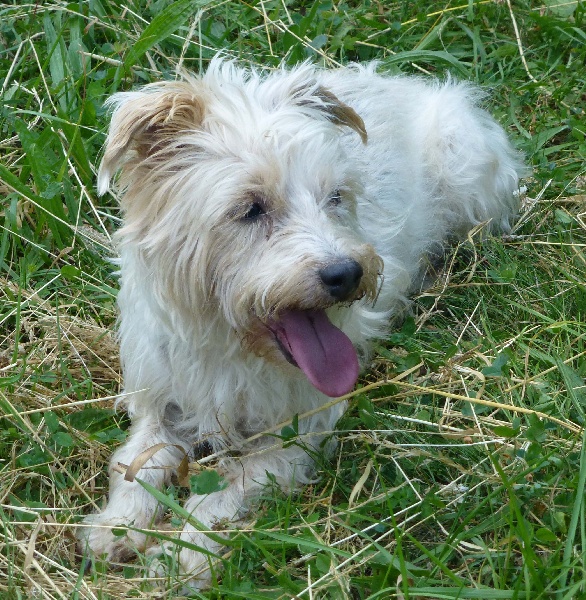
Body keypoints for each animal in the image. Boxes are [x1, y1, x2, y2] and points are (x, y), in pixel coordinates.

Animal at [76, 57, 520, 584]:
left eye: (336, 198)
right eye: (250, 208)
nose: (347, 274)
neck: (228, 346)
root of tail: (406, 82)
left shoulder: (300, 432)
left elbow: (227, 488)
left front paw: (185, 552)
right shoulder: (159, 397)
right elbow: (136, 462)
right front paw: (118, 525)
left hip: (465, 167)